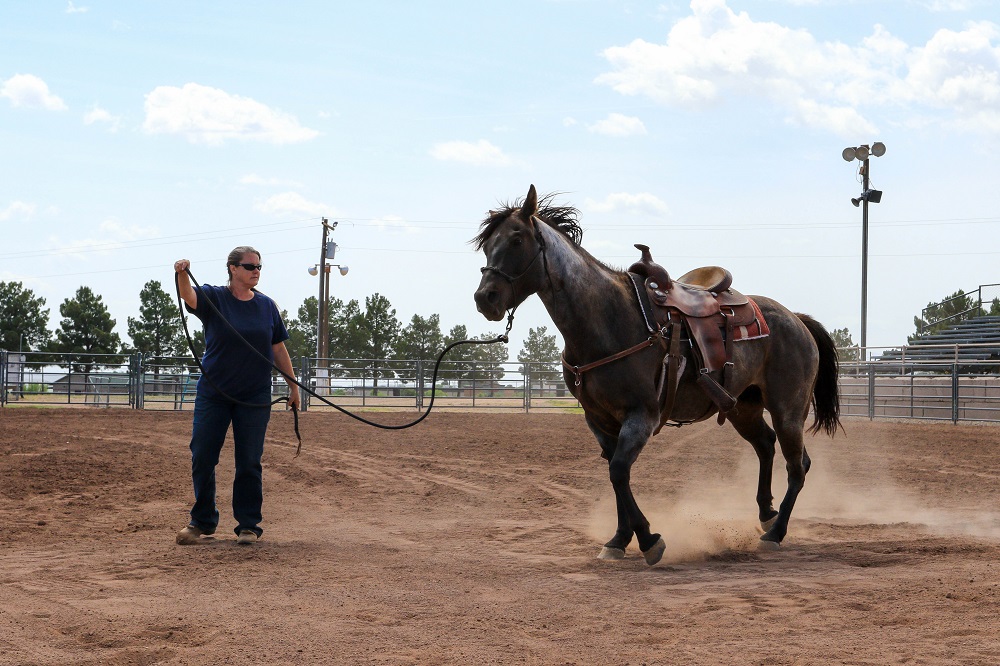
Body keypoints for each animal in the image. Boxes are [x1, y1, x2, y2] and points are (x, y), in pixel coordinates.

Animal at [472, 184, 840, 564]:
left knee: (797, 466)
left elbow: (619, 471)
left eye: (517, 239)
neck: (607, 319)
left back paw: (776, 533)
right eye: (487, 245)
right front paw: (618, 539)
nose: (485, 298)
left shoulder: (642, 416)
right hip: (743, 407)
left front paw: (649, 540)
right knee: (767, 446)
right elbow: (615, 473)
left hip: (788, 409)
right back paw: (767, 515)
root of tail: (797, 319)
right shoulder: (599, 420)